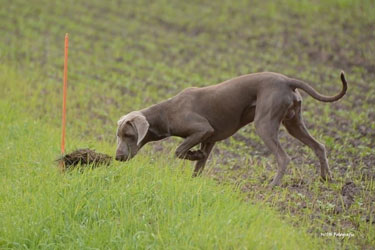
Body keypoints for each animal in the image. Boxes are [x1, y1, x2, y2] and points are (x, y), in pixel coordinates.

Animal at [116, 71, 348, 187]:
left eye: (128, 135)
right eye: (118, 136)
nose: (117, 157)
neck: (166, 112)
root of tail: (287, 80)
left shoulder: (203, 129)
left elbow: (179, 150)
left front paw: (195, 154)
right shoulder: (210, 138)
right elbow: (198, 166)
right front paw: (194, 179)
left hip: (264, 124)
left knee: (283, 157)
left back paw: (272, 185)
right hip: (293, 123)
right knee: (319, 146)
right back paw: (326, 178)